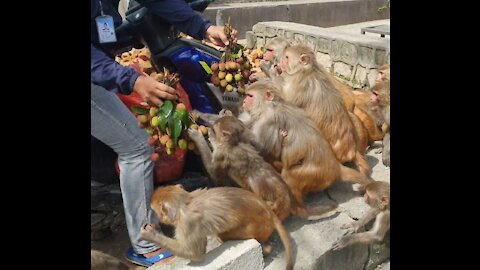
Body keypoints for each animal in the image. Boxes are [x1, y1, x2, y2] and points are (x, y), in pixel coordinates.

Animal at [141, 185, 294, 270]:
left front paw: (150, 235)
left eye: (155, 211)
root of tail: (268, 211)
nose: (156, 219)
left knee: (224, 235)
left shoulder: (187, 223)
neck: (185, 202)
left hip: (257, 227)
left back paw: (265, 249)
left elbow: (194, 253)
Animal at [188, 115, 338, 221]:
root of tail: (291, 203)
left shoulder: (222, 154)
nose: (210, 129)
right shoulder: (246, 140)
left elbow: (213, 172)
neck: (236, 142)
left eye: (214, 129)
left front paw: (201, 137)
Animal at [238, 80, 374, 207]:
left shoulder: (268, 120)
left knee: (289, 174)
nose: (243, 102)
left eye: (250, 96)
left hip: (313, 174)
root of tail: (336, 167)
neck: (271, 105)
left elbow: (264, 148)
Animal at [278, 44, 372, 177]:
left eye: (286, 57)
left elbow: (287, 104)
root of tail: (351, 151)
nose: (281, 61)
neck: (307, 71)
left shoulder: (297, 85)